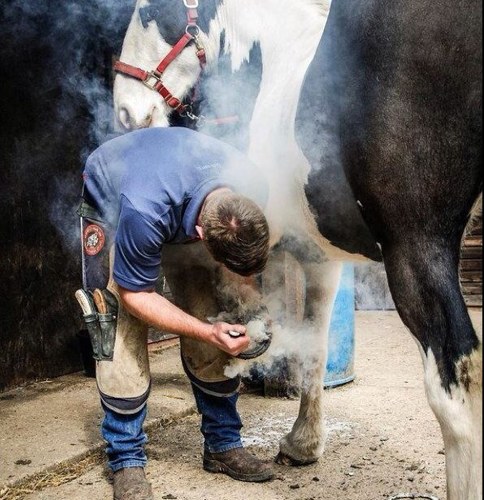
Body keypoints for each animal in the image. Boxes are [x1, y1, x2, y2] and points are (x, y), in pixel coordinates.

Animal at [112, 1, 480, 498]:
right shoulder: (320, 258)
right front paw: (303, 444)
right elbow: (315, 346)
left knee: (455, 390)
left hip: (418, 248)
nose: (127, 112)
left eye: (150, 9)